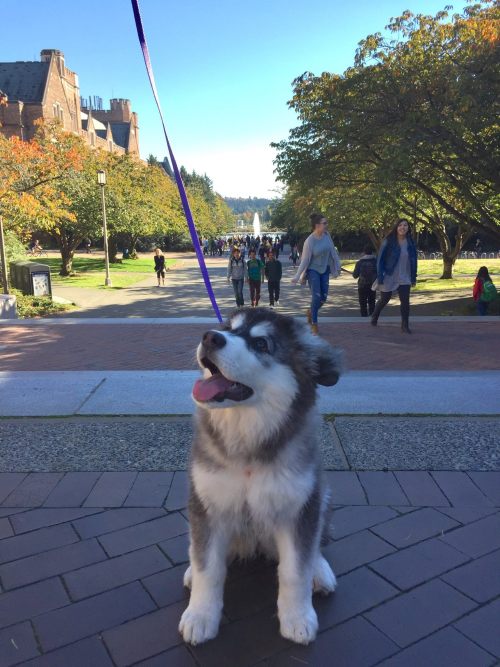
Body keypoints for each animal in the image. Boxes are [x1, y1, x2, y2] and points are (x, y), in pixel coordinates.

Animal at [178, 310, 342, 648]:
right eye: (228, 328)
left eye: (261, 343)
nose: (209, 337)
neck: (248, 447)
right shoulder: (206, 504)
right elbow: (207, 568)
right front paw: (200, 616)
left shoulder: (299, 507)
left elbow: (296, 568)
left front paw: (298, 618)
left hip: (321, 496)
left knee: (315, 544)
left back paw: (319, 571)